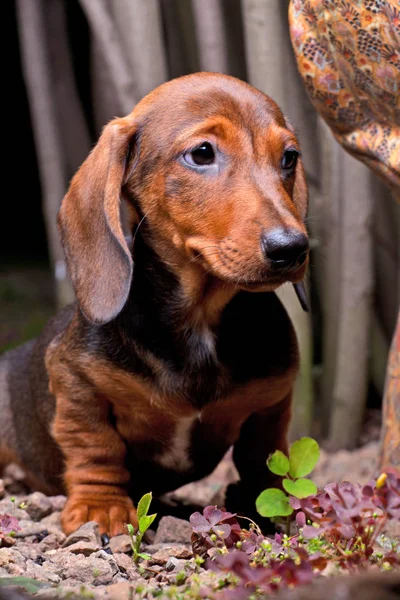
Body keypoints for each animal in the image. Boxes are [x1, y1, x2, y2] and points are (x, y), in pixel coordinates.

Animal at [0, 72, 310, 536]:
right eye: (202, 153)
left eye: (289, 157)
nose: (292, 248)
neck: (198, 322)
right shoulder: (75, 378)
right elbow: (95, 445)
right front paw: (100, 507)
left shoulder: (271, 400)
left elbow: (263, 458)